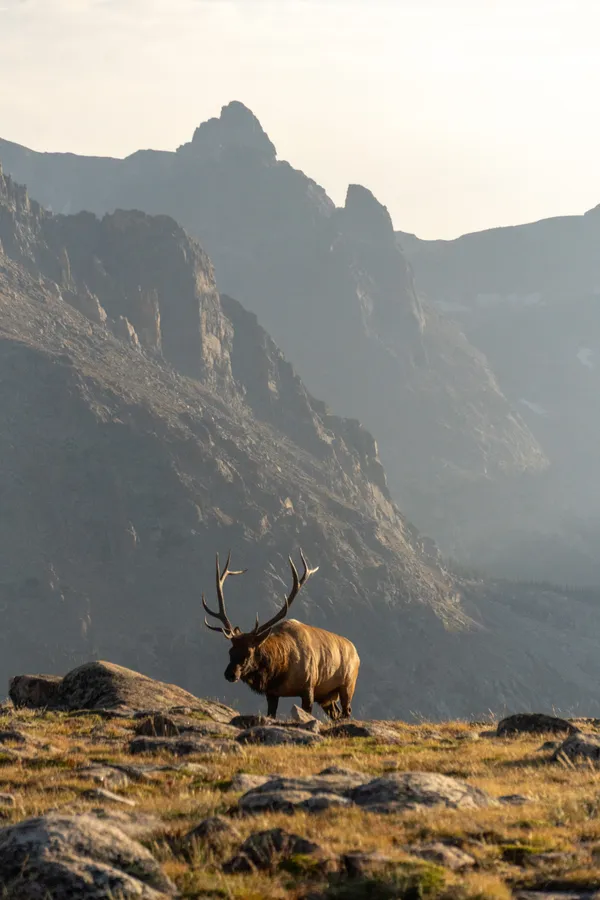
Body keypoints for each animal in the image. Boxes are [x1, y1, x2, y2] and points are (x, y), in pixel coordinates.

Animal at [204, 544, 358, 720]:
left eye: (249, 652)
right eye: (230, 651)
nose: (230, 674)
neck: (280, 671)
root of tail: (356, 653)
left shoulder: (309, 687)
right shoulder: (271, 693)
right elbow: (271, 714)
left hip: (348, 685)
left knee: (346, 711)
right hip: (326, 696)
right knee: (336, 714)